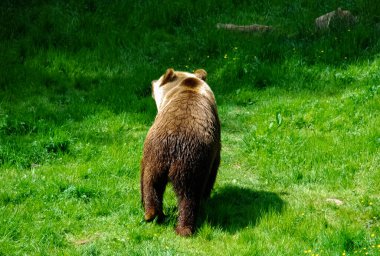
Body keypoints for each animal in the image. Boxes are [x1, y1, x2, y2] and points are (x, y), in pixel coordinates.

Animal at [141, 67, 221, 236]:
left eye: (158, 79)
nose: (152, 82)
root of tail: (174, 145)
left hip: (165, 156)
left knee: (154, 184)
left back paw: (156, 216)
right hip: (183, 159)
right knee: (185, 194)